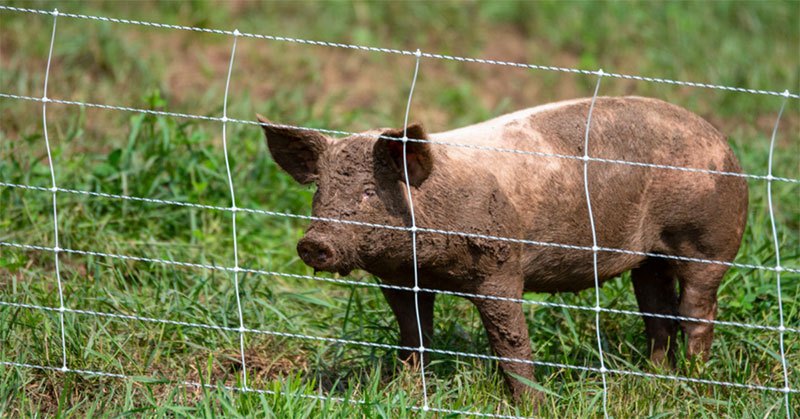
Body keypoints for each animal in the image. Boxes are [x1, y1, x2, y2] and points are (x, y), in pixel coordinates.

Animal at [258, 96, 752, 404]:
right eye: (319, 191)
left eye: (367, 192)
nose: (313, 243)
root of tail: (724, 143)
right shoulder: (399, 280)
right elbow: (413, 334)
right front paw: (403, 391)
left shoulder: (500, 267)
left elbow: (510, 342)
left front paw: (533, 405)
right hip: (649, 259)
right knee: (655, 310)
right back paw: (655, 377)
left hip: (707, 240)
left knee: (696, 310)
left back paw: (693, 379)